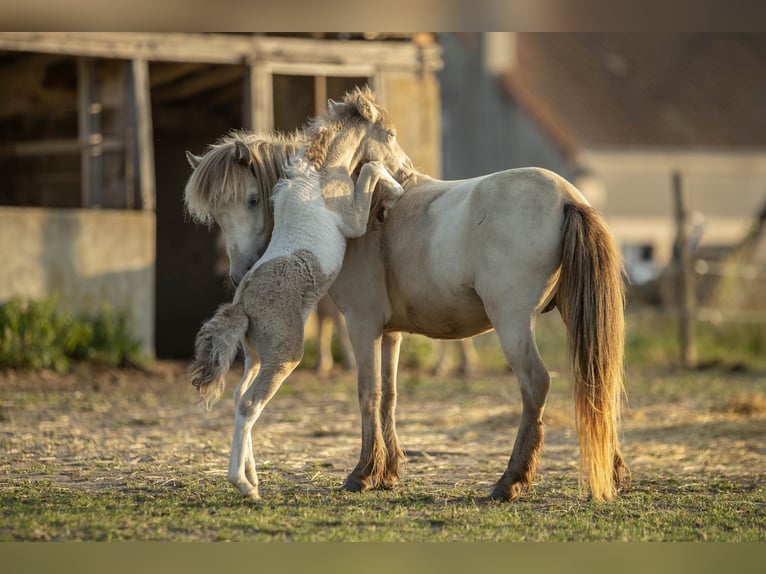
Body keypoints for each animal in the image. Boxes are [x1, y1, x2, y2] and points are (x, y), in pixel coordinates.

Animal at [184, 86, 632, 504]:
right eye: (217, 215)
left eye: (252, 199)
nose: (242, 273)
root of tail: (568, 198)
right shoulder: (391, 332)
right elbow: (389, 396)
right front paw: (387, 473)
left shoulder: (362, 323)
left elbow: (368, 394)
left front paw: (362, 474)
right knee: (596, 382)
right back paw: (609, 474)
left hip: (513, 324)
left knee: (536, 385)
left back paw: (509, 482)